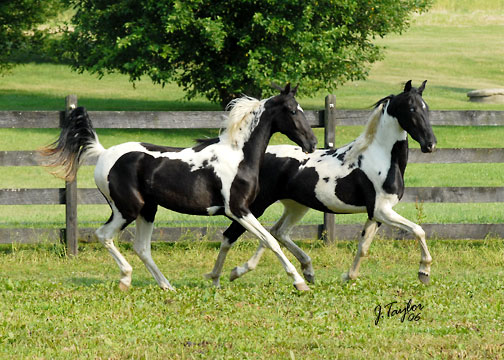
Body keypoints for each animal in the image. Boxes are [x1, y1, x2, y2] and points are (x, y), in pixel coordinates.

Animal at [44, 85, 318, 292]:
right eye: (292, 111)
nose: (312, 143)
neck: (238, 156)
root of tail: (103, 153)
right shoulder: (239, 210)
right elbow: (271, 240)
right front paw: (300, 282)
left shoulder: (243, 212)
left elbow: (249, 240)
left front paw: (217, 278)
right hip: (126, 209)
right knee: (104, 235)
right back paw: (126, 279)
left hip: (148, 210)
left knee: (141, 247)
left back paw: (167, 286)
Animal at [205, 79, 438, 286]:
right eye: (411, 108)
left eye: (426, 108)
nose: (430, 145)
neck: (379, 156)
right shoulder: (382, 210)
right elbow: (418, 230)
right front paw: (424, 271)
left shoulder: (377, 214)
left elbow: (363, 247)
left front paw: (348, 277)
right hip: (254, 206)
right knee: (236, 235)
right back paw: (227, 274)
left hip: (296, 206)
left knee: (277, 232)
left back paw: (305, 270)